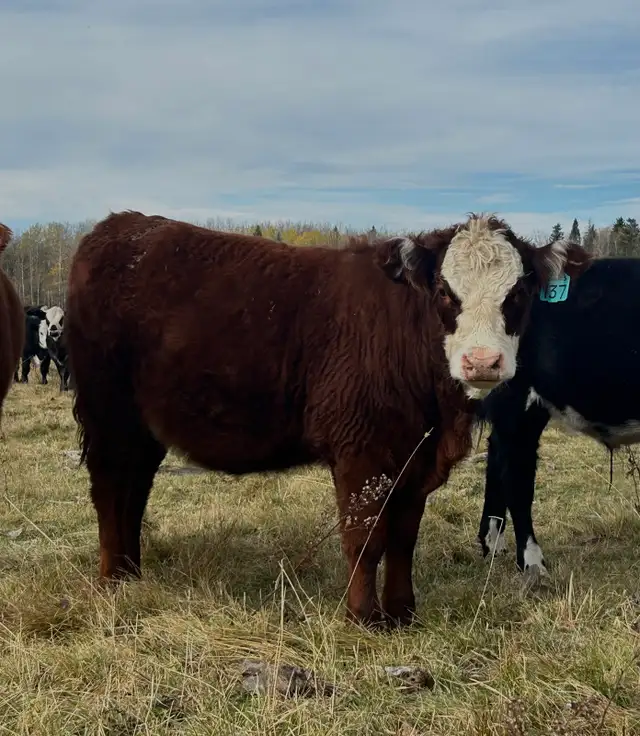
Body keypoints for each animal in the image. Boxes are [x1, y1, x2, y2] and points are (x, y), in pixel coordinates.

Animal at [65, 210, 589, 628]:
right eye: (445, 291)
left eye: (519, 292)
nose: (482, 362)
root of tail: (120, 227)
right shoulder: (362, 453)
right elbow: (366, 538)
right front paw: (364, 616)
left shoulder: (414, 460)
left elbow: (403, 538)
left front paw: (403, 612)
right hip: (108, 414)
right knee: (110, 490)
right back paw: (112, 579)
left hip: (141, 428)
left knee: (134, 490)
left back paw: (132, 572)